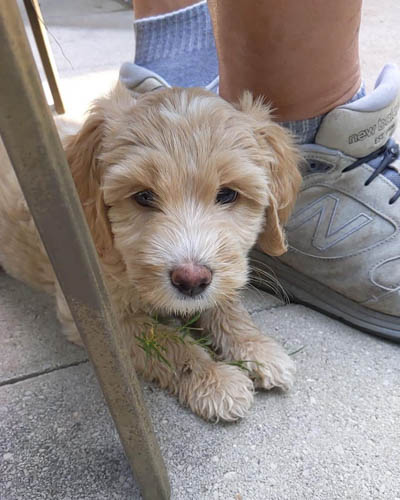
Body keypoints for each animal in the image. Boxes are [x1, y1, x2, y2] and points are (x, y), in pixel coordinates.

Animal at [0, 86, 300, 422]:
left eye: (227, 194)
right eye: (143, 196)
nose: (191, 280)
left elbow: (227, 305)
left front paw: (256, 348)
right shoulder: (94, 319)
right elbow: (164, 342)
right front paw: (214, 378)